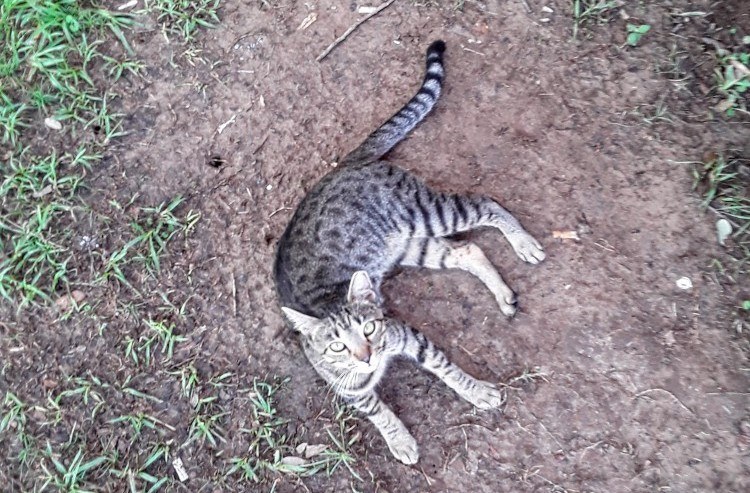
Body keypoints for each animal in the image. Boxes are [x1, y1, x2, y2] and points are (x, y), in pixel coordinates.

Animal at [274, 40, 544, 464]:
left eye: (368, 328)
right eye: (337, 345)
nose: (367, 356)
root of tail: (345, 166)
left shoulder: (409, 336)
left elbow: (448, 369)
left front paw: (477, 391)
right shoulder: (349, 390)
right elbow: (378, 411)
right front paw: (399, 439)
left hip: (427, 212)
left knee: (487, 204)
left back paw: (524, 243)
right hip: (412, 245)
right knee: (469, 250)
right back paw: (503, 294)